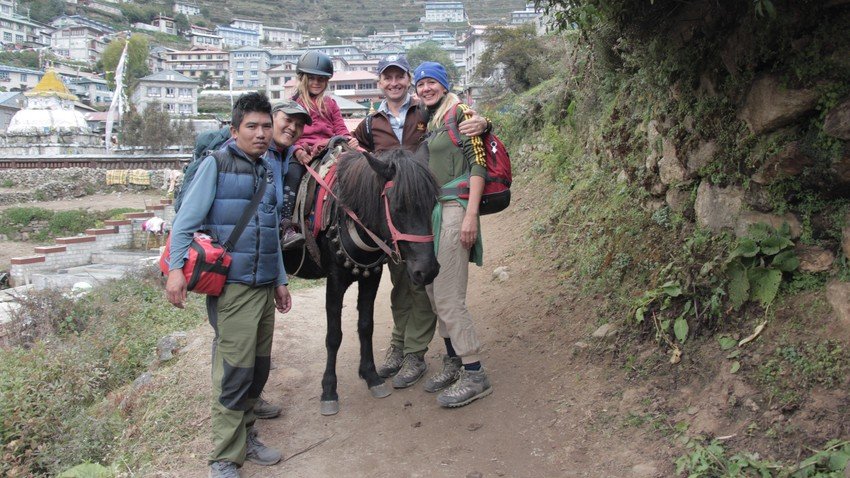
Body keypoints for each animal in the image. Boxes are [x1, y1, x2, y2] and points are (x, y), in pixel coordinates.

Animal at [284, 142, 440, 414]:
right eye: (398, 207)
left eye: (431, 202)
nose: (427, 270)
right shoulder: (335, 280)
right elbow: (334, 336)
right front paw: (329, 390)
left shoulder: (371, 277)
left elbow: (366, 326)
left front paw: (371, 376)